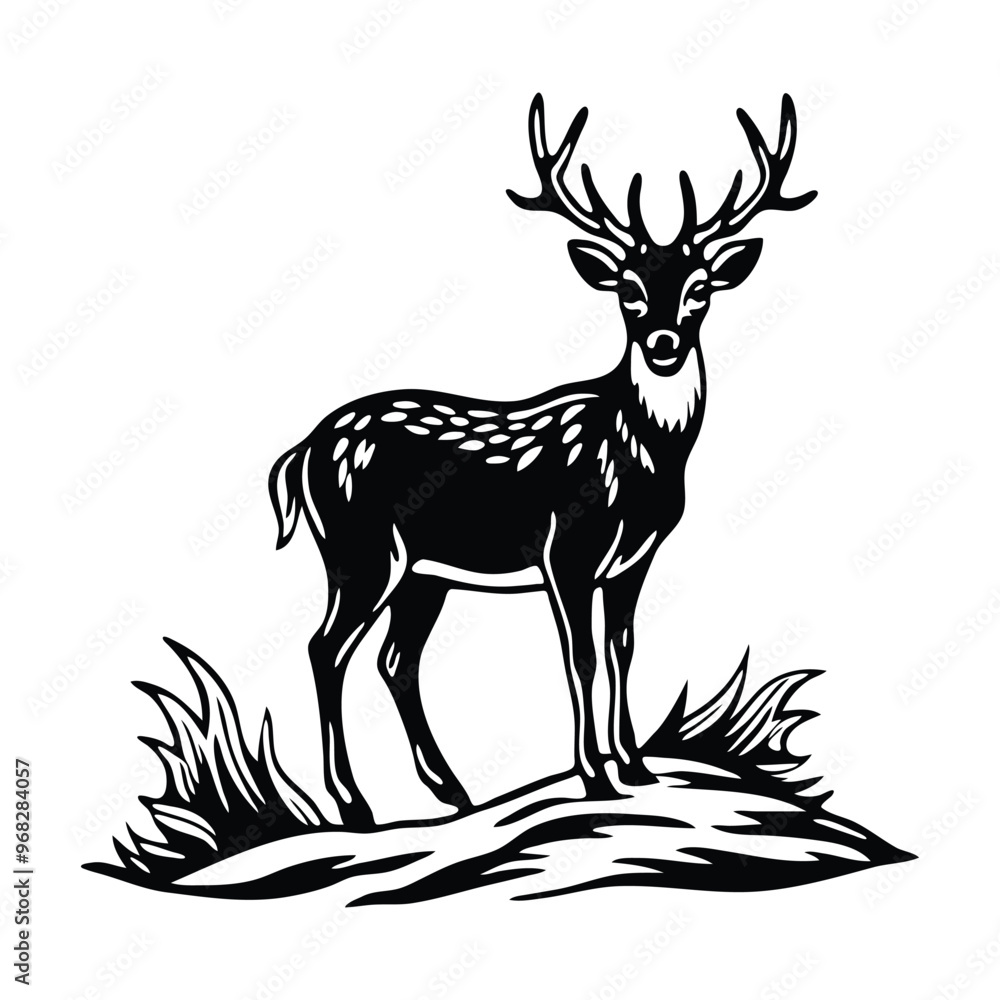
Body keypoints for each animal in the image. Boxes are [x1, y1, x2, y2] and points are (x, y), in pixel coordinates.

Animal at [268, 93, 816, 829]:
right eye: (628, 289)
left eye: (699, 288)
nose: (664, 342)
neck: (638, 460)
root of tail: (301, 451)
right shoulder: (567, 549)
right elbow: (579, 657)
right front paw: (596, 778)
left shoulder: (636, 557)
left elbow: (623, 649)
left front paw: (637, 767)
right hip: (359, 547)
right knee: (325, 649)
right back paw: (354, 806)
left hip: (424, 572)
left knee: (395, 659)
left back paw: (453, 791)